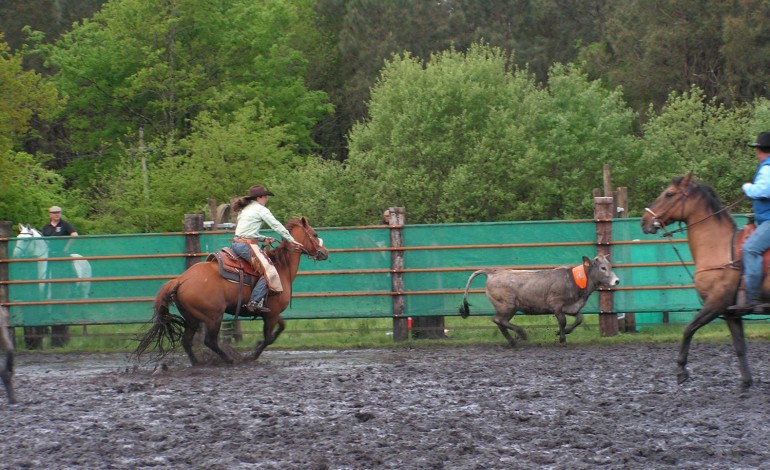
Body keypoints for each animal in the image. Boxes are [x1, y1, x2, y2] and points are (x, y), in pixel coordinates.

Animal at [135, 218, 328, 368]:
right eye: (315, 234)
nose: (325, 253)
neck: (281, 267)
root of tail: (181, 279)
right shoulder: (271, 315)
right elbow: (268, 338)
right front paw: (251, 356)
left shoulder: (272, 313)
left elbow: (281, 329)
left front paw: (256, 346)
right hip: (213, 316)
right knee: (210, 341)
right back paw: (230, 360)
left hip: (192, 318)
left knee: (187, 341)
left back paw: (198, 363)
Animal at [636, 174, 756, 388]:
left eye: (669, 194)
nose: (644, 221)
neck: (720, 250)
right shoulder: (731, 313)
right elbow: (740, 346)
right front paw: (746, 382)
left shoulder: (716, 304)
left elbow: (688, 329)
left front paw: (681, 370)